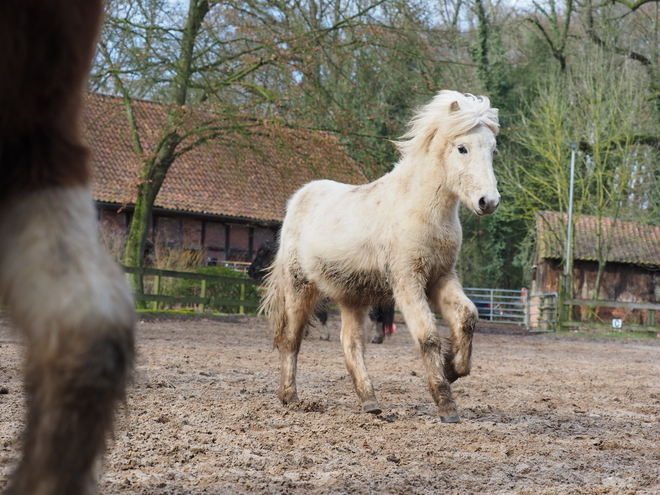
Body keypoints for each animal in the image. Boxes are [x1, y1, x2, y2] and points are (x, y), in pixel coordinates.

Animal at [248, 242, 392, 342]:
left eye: (261, 253)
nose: (250, 271)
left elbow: (320, 315)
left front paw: (323, 335)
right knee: (381, 315)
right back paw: (378, 337)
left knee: (374, 315)